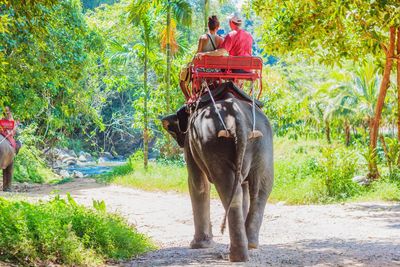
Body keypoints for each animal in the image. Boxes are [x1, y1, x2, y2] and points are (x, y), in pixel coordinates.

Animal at [161, 82, 274, 262]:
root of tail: (237, 117)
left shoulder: (191, 141)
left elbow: (197, 183)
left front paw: (198, 246)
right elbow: (243, 187)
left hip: (212, 141)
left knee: (228, 189)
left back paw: (236, 255)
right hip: (263, 144)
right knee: (260, 189)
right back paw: (250, 245)